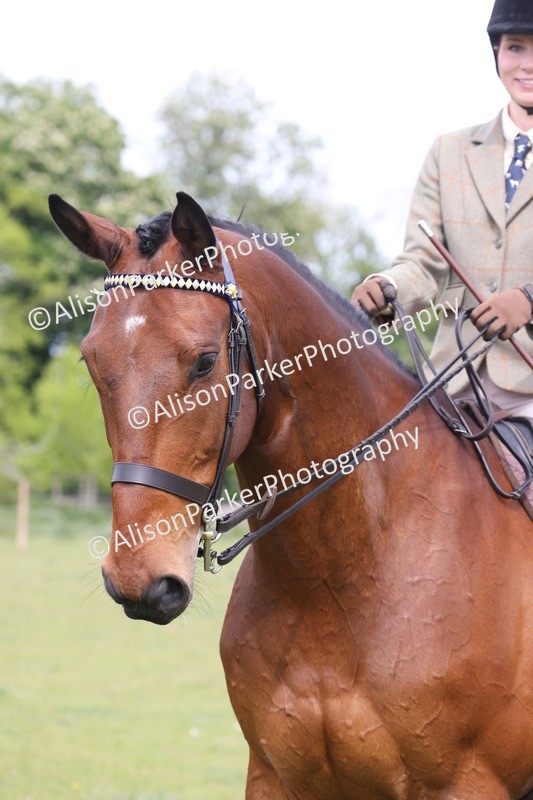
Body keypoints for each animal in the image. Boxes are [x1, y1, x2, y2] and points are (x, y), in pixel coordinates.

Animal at [49, 191, 533, 800]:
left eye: (205, 361)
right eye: (91, 361)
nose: (140, 581)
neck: (340, 574)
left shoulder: (468, 784)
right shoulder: (274, 774)